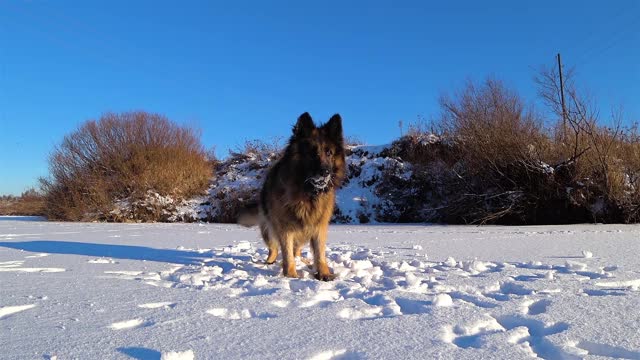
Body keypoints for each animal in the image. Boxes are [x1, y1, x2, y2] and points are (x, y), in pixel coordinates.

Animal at [238, 112, 344, 282]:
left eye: (329, 153)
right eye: (312, 153)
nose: (325, 172)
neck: (307, 193)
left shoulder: (318, 226)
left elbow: (319, 252)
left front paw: (324, 273)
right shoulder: (284, 227)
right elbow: (287, 253)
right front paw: (291, 275)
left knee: (297, 250)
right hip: (269, 230)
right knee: (274, 249)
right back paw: (270, 262)